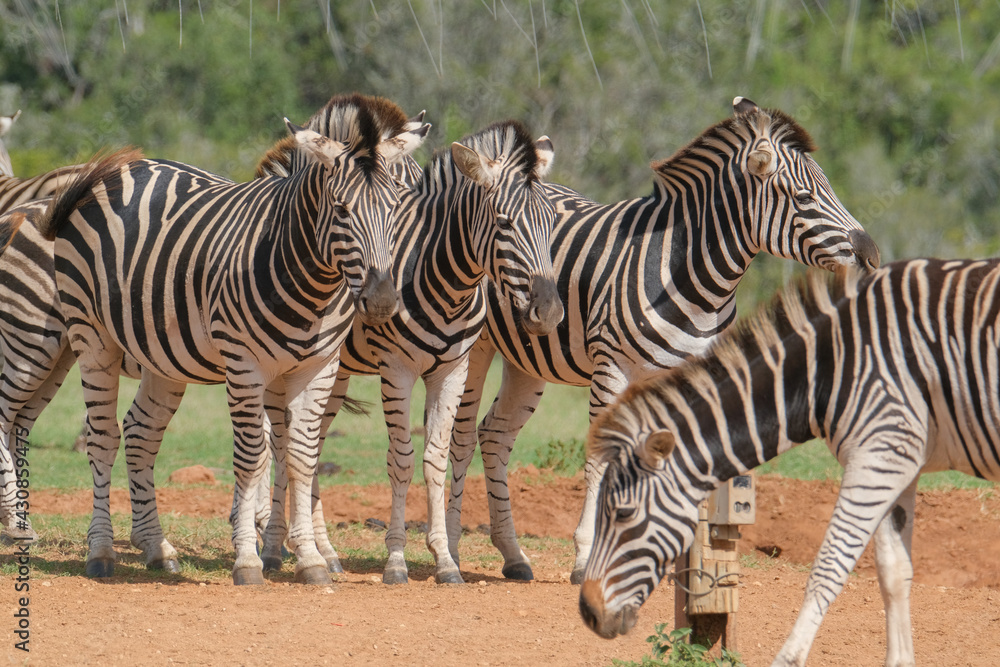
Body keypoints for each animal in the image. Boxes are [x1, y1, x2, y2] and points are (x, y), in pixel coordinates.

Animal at [0, 100, 428, 561]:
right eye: (342, 209)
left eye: (398, 206)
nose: (383, 300)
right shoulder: (252, 364)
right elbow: (265, 448)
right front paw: (264, 535)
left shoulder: (316, 367)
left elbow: (296, 449)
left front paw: (294, 542)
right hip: (41, 339)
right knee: (34, 421)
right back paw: (42, 532)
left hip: (80, 356)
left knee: (62, 427)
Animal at [260, 120, 564, 585]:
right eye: (504, 222)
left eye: (551, 222)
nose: (548, 313)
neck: (445, 282)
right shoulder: (397, 369)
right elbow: (401, 460)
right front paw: (396, 560)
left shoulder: (453, 370)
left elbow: (435, 459)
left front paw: (445, 561)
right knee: (277, 442)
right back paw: (273, 547)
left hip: (334, 372)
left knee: (311, 445)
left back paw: (325, 553)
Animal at [445, 97, 882, 583]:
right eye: (804, 197)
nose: (872, 256)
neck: (690, 276)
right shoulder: (611, 370)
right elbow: (602, 460)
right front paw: (586, 558)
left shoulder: (689, 374)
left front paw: (687, 559)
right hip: (476, 347)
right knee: (461, 437)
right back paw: (453, 552)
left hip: (528, 356)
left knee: (495, 434)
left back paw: (514, 555)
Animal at [578, 258, 1000, 667]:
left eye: (624, 514)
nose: (588, 612)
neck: (828, 367)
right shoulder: (897, 458)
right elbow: (894, 572)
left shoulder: (879, 449)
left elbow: (828, 566)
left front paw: (788, 657)